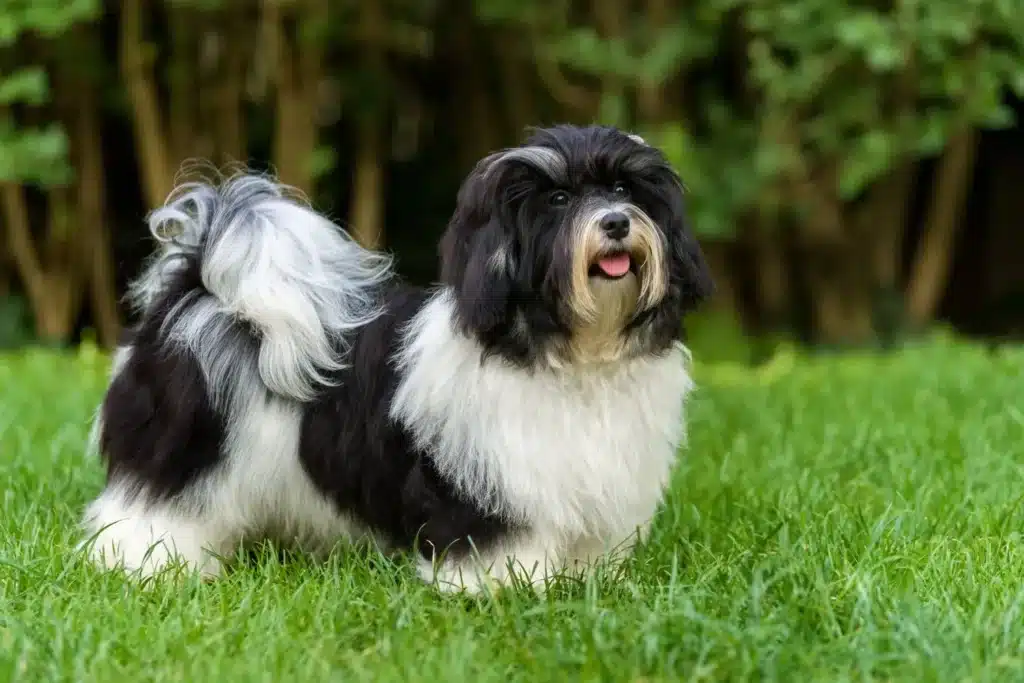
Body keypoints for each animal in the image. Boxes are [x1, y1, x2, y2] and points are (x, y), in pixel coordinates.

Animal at [81, 122, 712, 593]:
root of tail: (198, 285)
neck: (577, 353)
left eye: (626, 192)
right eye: (558, 199)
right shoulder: (487, 483)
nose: (615, 222)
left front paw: (583, 584)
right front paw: (505, 588)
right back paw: (144, 563)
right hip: (183, 448)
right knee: (151, 505)